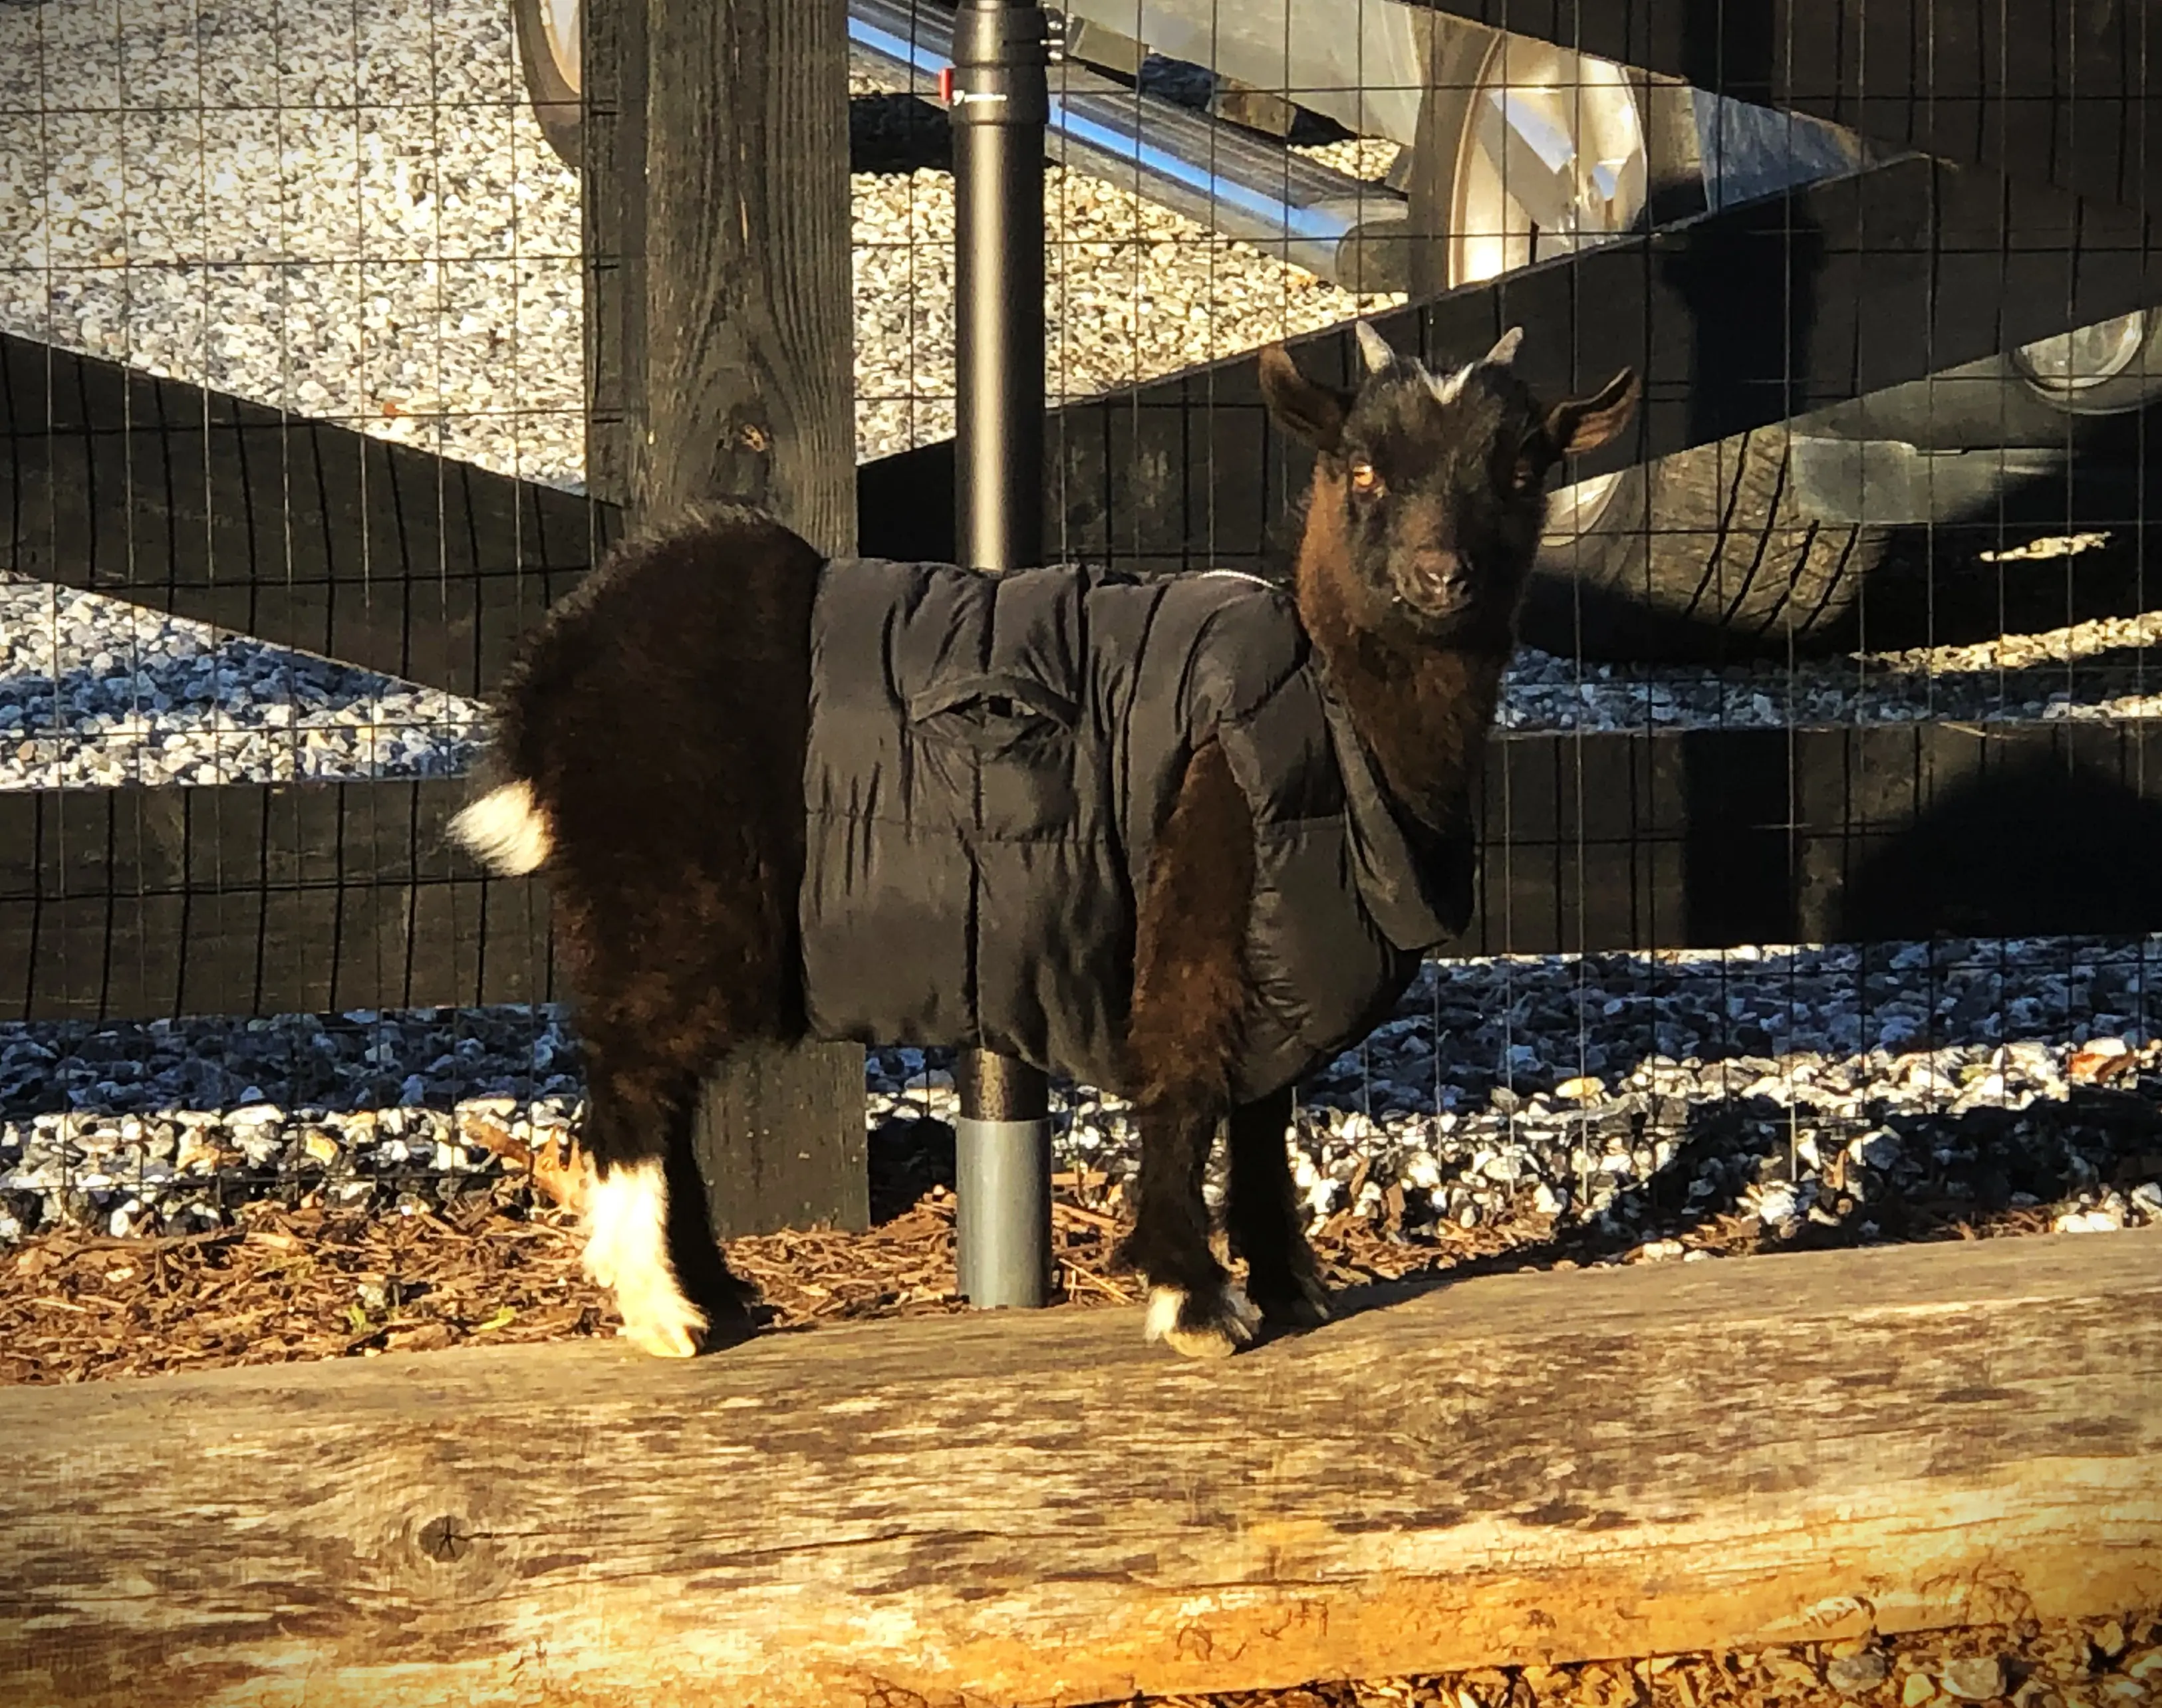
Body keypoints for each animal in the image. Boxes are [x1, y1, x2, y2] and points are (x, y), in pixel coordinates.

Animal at [450, 323, 1638, 1359]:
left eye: (1521, 471)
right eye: (1358, 471)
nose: (1440, 578)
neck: (1323, 703)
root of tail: (556, 671)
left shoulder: (1279, 943)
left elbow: (1263, 1111)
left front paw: (1286, 1286)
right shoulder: (1197, 894)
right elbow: (1186, 1080)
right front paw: (1193, 1300)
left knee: (667, 1092)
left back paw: (718, 1294)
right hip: (661, 895)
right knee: (633, 1086)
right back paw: (665, 1314)